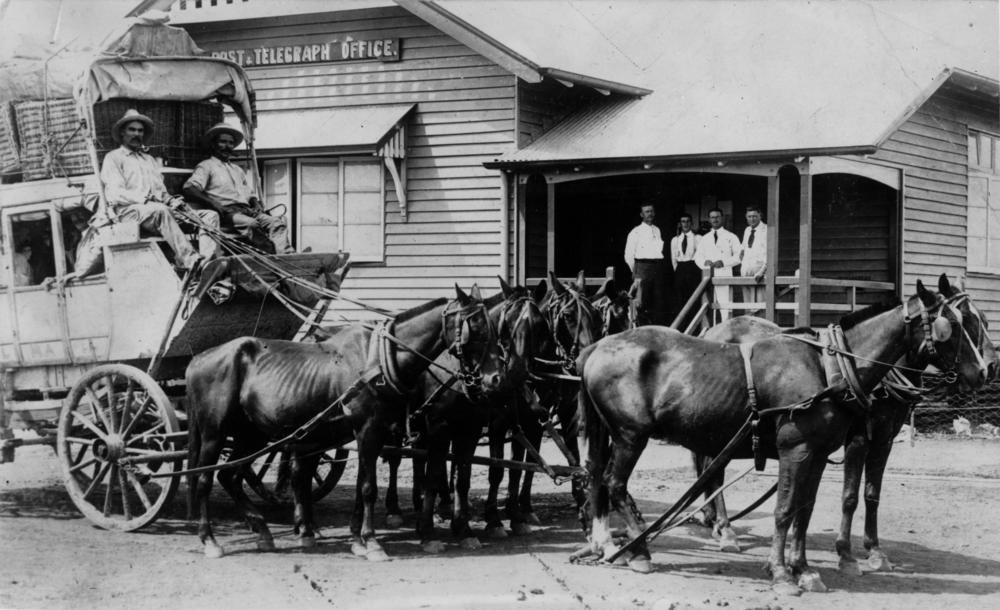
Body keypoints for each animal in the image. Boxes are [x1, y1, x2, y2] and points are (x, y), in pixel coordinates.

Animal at [184, 284, 504, 556]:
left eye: (492, 329)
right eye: (476, 328)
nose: (494, 378)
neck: (378, 360)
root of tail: (199, 359)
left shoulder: (374, 433)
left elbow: (364, 484)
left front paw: (358, 539)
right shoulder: (371, 429)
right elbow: (369, 487)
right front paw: (372, 542)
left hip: (252, 434)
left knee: (230, 476)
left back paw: (263, 530)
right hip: (215, 433)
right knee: (204, 478)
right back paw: (210, 539)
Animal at [580, 278, 992, 596]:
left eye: (976, 319)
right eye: (953, 325)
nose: (985, 370)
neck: (832, 367)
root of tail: (597, 346)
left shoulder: (821, 452)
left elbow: (806, 511)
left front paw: (804, 568)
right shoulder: (799, 450)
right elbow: (786, 510)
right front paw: (783, 572)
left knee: (608, 478)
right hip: (631, 436)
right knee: (616, 484)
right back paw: (641, 551)